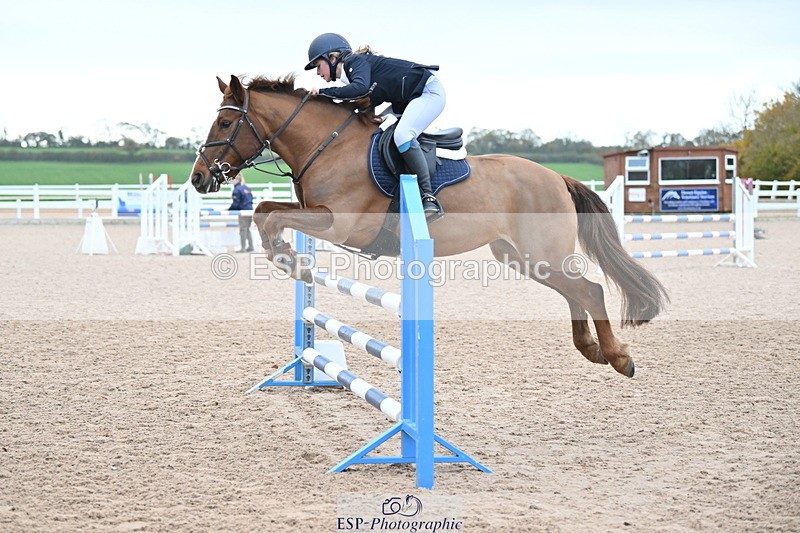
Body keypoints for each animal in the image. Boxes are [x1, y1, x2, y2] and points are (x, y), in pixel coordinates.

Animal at [190, 74, 669, 378]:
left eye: (226, 122)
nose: (197, 178)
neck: (329, 145)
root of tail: (556, 176)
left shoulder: (339, 224)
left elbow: (271, 216)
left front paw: (291, 260)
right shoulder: (315, 211)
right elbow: (264, 210)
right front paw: (293, 261)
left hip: (540, 254)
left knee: (589, 289)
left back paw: (617, 357)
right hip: (520, 257)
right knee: (575, 291)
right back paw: (592, 350)